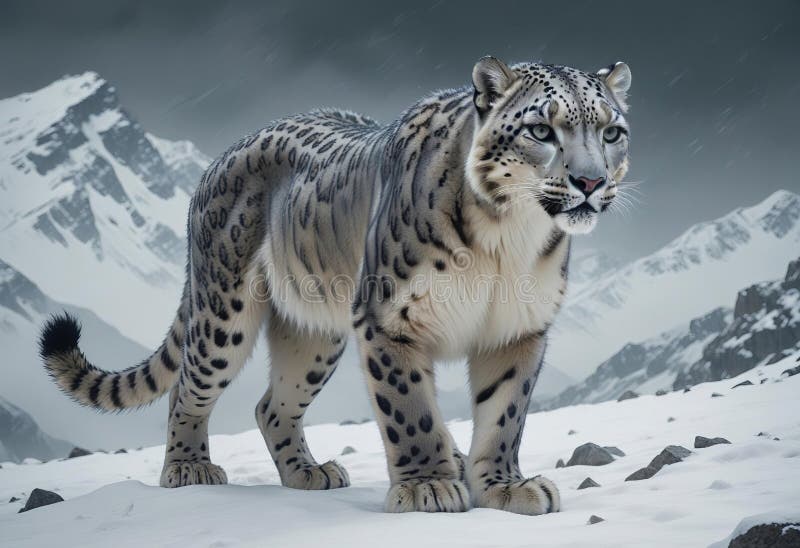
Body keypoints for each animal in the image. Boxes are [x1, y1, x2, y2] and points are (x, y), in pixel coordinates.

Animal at [39, 56, 632, 515]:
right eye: (541, 130)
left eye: (612, 131)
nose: (590, 181)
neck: (507, 241)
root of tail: (217, 160)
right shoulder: (390, 318)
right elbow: (410, 408)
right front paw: (429, 486)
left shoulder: (517, 329)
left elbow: (505, 411)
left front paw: (505, 487)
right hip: (224, 313)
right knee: (188, 385)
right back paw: (189, 468)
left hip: (314, 333)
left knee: (272, 405)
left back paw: (308, 472)